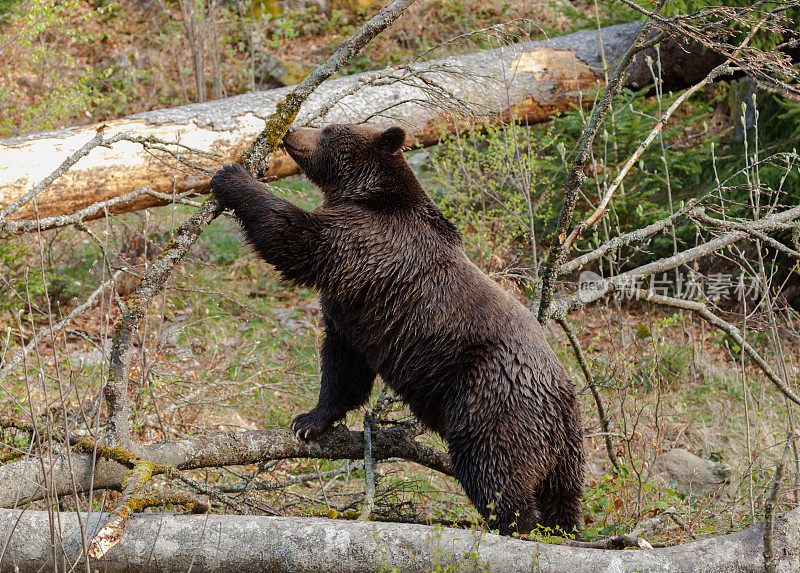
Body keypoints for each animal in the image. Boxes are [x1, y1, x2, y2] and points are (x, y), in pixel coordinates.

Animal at [209, 123, 584, 536]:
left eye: (328, 130)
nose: (291, 130)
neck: (365, 190)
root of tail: (561, 402)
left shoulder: (366, 242)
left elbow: (295, 235)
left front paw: (231, 175)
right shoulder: (356, 311)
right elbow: (343, 367)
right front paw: (311, 420)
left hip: (491, 398)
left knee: (494, 468)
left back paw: (510, 525)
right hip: (566, 451)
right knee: (563, 497)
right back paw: (563, 529)